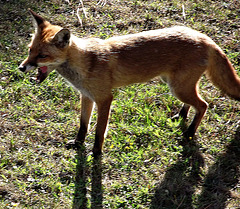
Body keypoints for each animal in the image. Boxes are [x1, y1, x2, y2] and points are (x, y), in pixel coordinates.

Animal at [19, 10, 240, 157]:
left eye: (42, 56)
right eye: (30, 50)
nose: (21, 68)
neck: (86, 62)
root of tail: (205, 37)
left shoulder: (105, 98)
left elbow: (99, 131)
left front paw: (96, 153)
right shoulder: (87, 96)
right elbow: (83, 125)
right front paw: (78, 143)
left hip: (179, 88)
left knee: (204, 105)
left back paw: (190, 133)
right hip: (177, 85)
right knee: (196, 103)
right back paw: (182, 115)